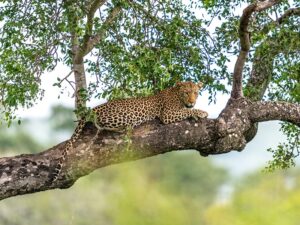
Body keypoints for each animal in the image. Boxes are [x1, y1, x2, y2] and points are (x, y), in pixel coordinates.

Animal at [49, 81, 209, 183]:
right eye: (186, 93)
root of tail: (95, 108)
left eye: (196, 93)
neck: (176, 94)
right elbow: (185, 111)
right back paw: (126, 128)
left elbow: (187, 110)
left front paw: (197, 111)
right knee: (103, 125)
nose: (192, 101)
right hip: (125, 115)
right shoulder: (168, 114)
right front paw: (202, 112)